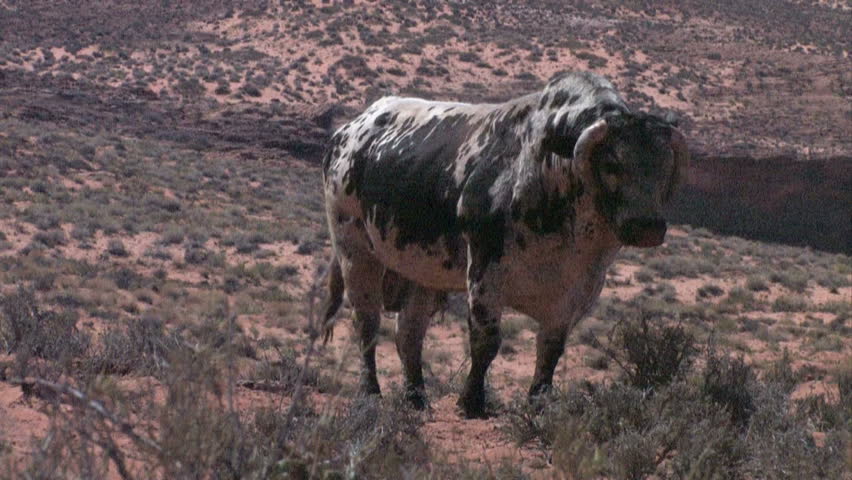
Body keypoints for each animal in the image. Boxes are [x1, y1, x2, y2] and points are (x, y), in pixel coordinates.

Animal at [320, 71, 689, 418]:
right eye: (612, 164)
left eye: (663, 165)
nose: (647, 226)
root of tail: (348, 131)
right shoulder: (485, 273)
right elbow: (486, 342)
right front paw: (470, 402)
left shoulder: (577, 293)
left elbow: (550, 350)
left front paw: (538, 402)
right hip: (356, 255)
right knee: (367, 324)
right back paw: (371, 393)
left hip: (422, 273)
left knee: (408, 333)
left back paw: (416, 398)